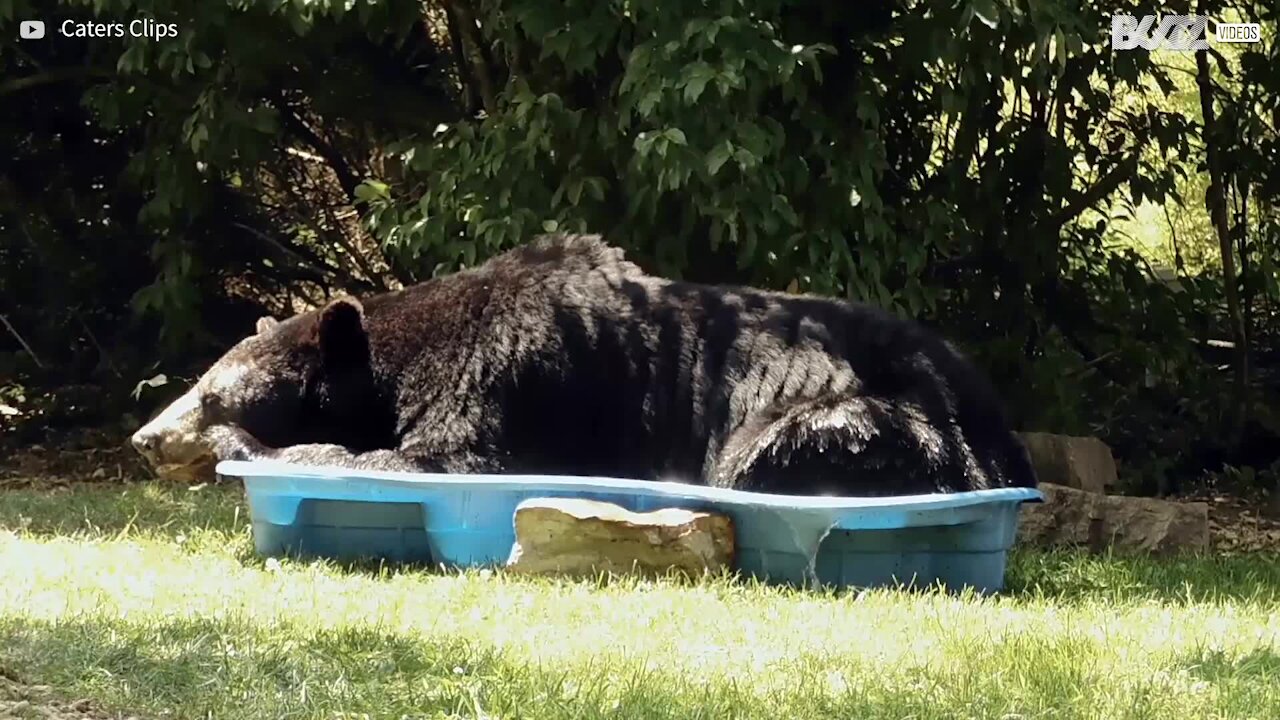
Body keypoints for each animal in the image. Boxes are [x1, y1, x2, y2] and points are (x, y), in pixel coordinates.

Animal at [129, 233, 1034, 497]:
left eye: (211, 395)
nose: (146, 437)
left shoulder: (508, 375)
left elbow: (454, 457)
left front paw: (250, 450)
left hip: (890, 418)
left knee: (776, 446)